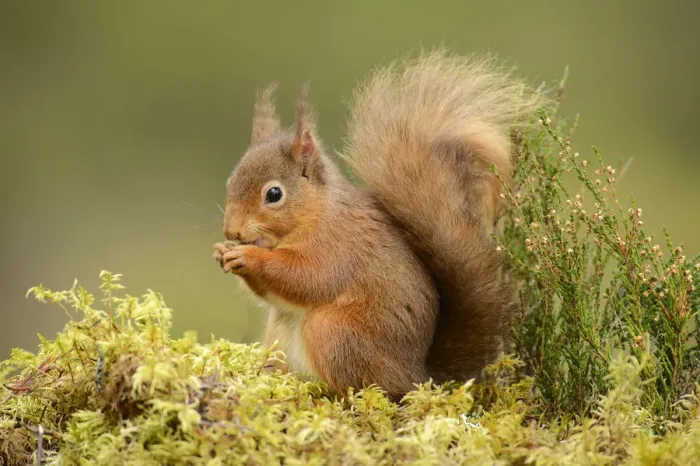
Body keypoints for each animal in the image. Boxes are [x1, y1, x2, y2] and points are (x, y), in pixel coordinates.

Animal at [213, 51, 543, 399]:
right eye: (229, 182)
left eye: (273, 194)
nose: (232, 231)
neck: (315, 213)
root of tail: (417, 375)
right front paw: (222, 250)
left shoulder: (338, 246)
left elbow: (308, 278)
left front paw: (249, 256)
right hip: (280, 333)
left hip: (334, 331)